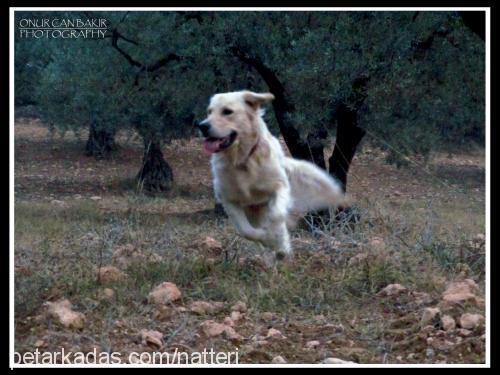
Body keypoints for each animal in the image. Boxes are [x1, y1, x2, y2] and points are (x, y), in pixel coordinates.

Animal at [197, 90, 346, 258]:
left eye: (227, 111)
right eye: (209, 112)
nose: (202, 126)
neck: (243, 161)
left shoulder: (279, 186)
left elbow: (276, 216)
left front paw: (275, 236)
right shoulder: (229, 200)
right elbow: (246, 231)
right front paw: (266, 238)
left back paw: (282, 248)